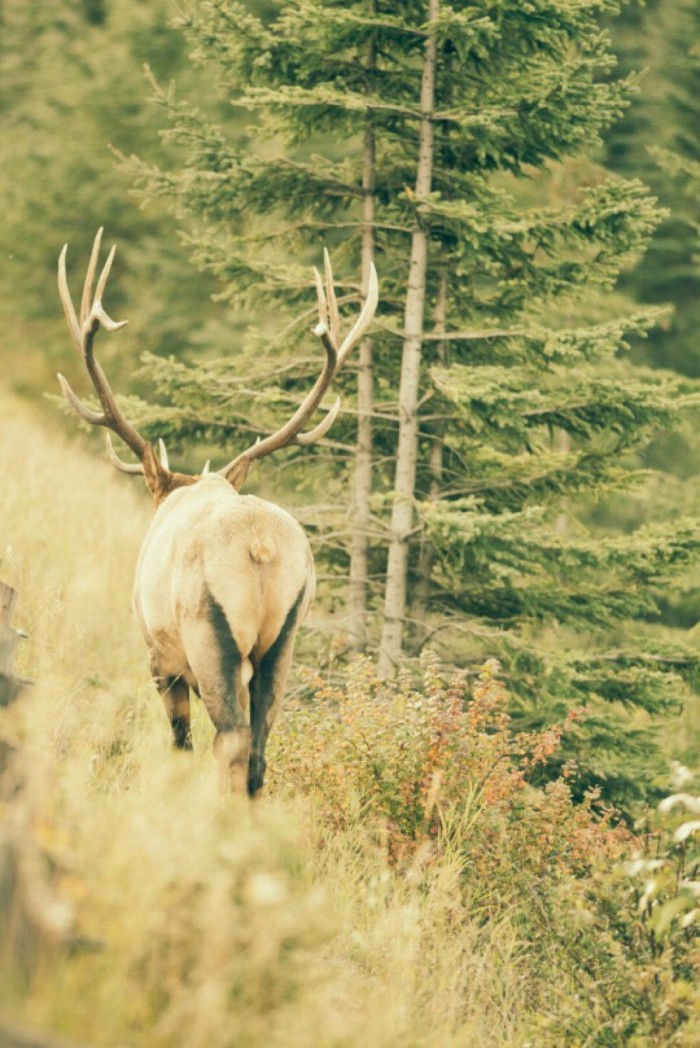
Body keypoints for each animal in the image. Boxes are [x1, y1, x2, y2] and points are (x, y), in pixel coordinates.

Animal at [59, 229, 377, 792]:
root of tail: (260, 545)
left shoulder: (160, 657)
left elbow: (179, 743)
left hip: (209, 632)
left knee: (229, 742)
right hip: (285, 637)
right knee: (259, 748)